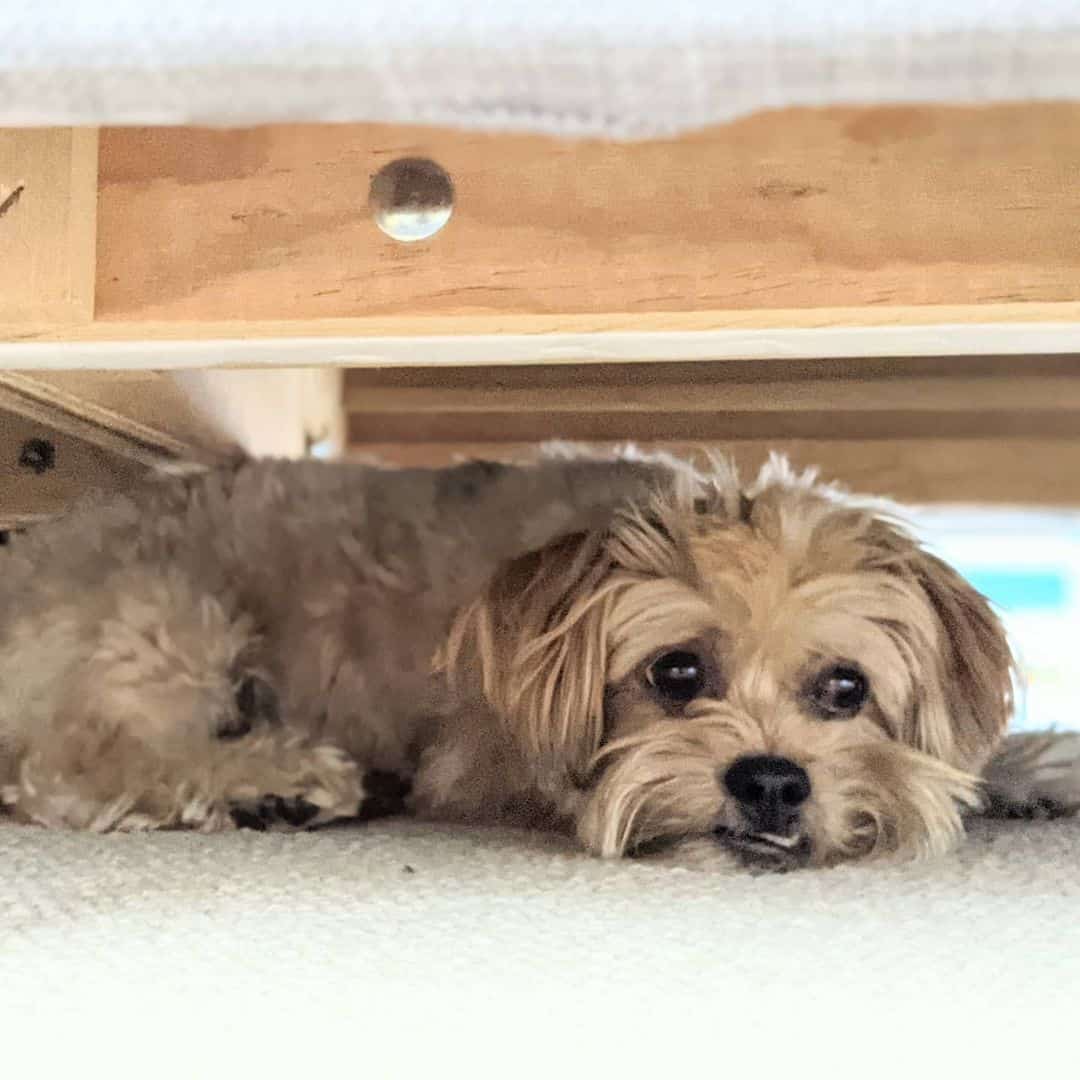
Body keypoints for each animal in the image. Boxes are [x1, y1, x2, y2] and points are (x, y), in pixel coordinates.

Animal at [0, 447, 1075, 868]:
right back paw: (274, 781)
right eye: (676, 673)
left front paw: (1033, 767)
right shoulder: (474, 759)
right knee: (71, 768)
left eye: (844, 687)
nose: (771, 782)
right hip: (170, 615)